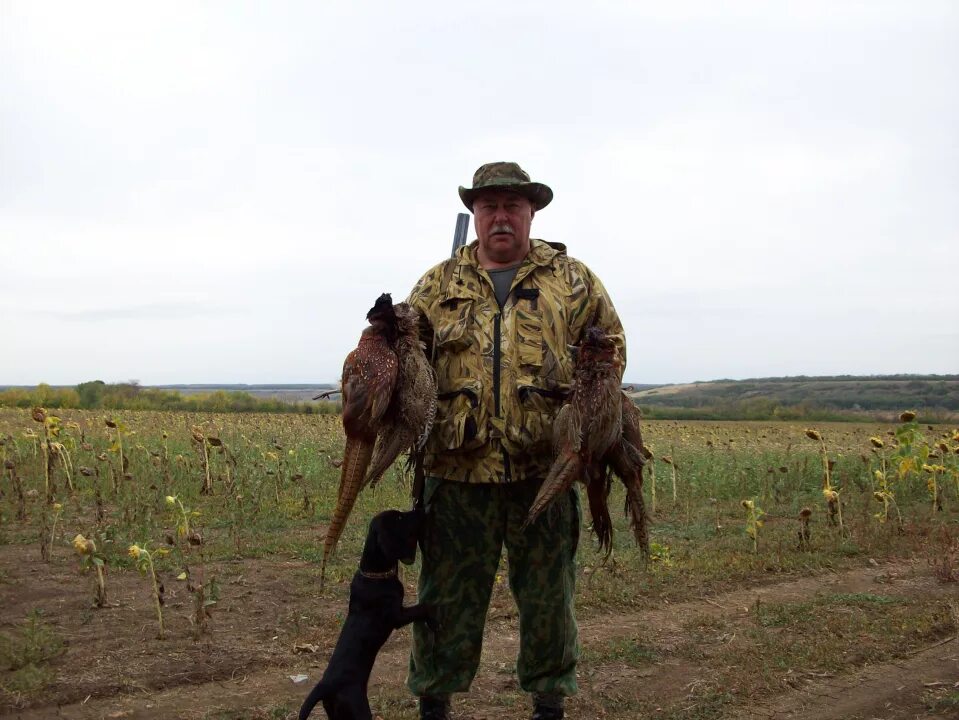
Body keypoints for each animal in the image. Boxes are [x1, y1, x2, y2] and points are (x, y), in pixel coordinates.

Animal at [298, 510, 436, 716]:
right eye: (399, 518)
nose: (420, 510)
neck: (375, 575)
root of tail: (325, 686)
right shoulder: (396, 616)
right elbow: (421, 607)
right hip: (357, 707)